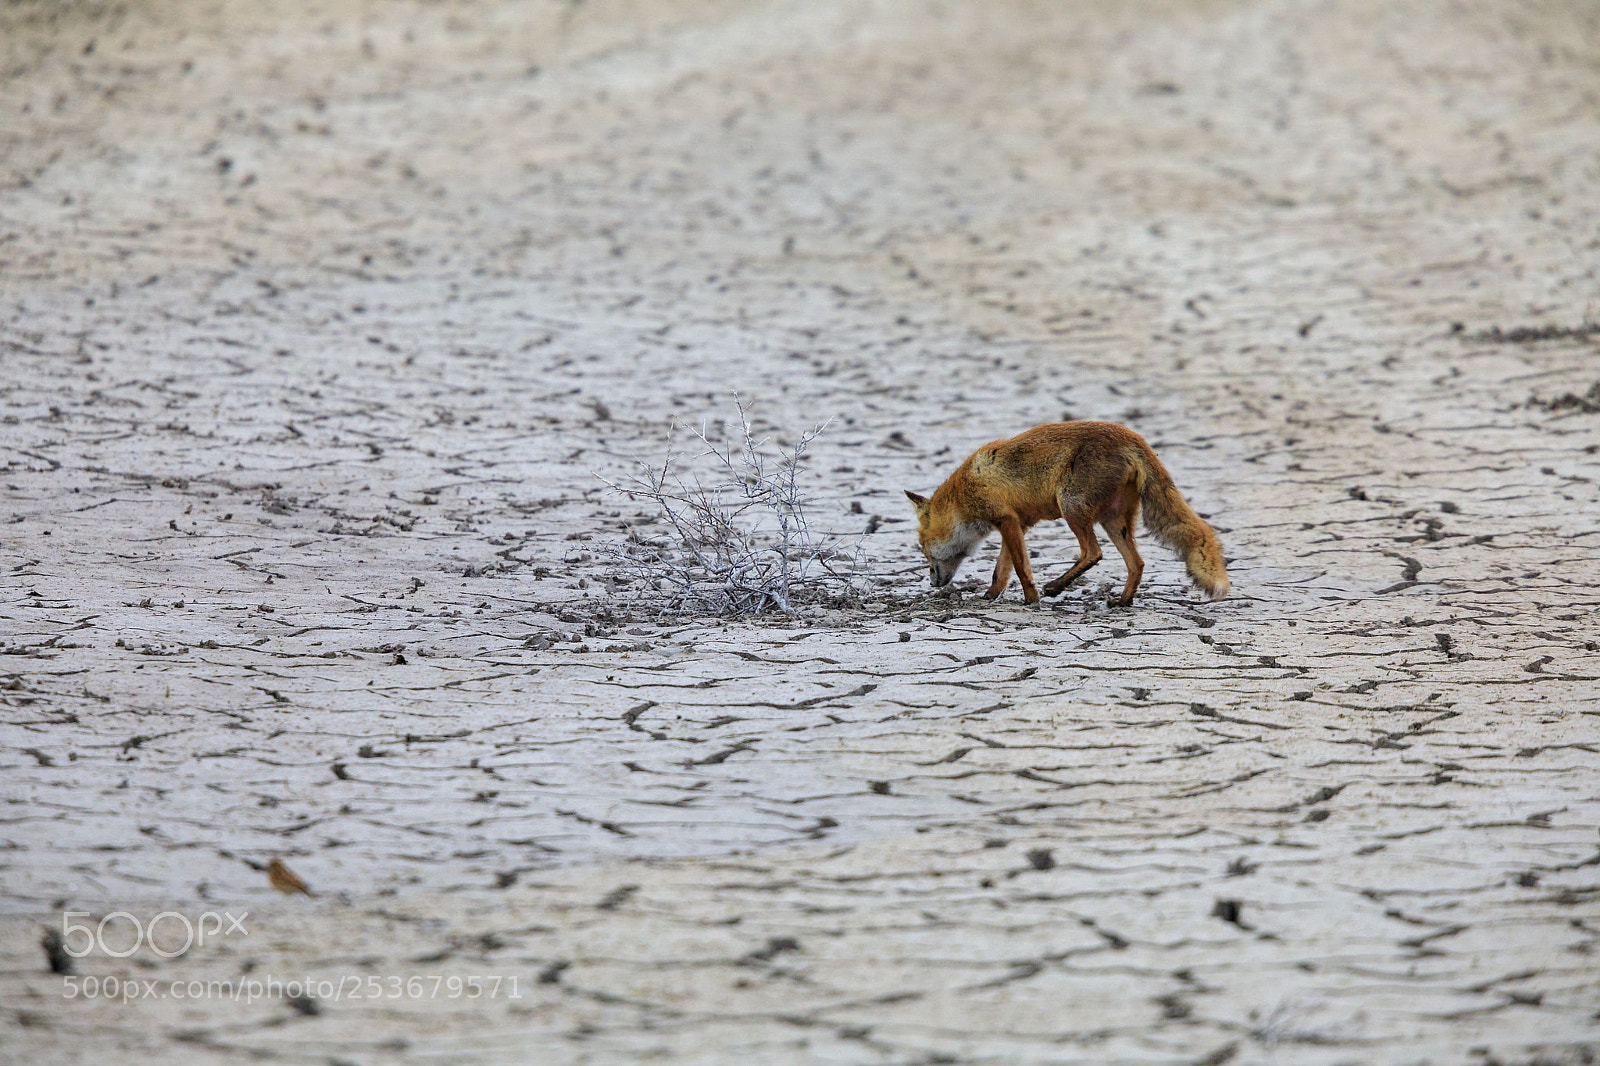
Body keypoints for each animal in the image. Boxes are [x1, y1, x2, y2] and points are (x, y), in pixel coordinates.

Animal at [904, 421, 1229, 607]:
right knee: (1136, 563)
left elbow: (1020, 569)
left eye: (924, 551)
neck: (964, 494)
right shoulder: (1018, 524)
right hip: (1113, 521)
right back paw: (1123, 601)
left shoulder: (1006, 520)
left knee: (1093, 553)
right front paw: (989, 597)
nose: (931, 583)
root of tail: (1133, 436)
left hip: (1070, 506)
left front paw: (1031, 600)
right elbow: (1001, 571)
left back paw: (1055, 587)